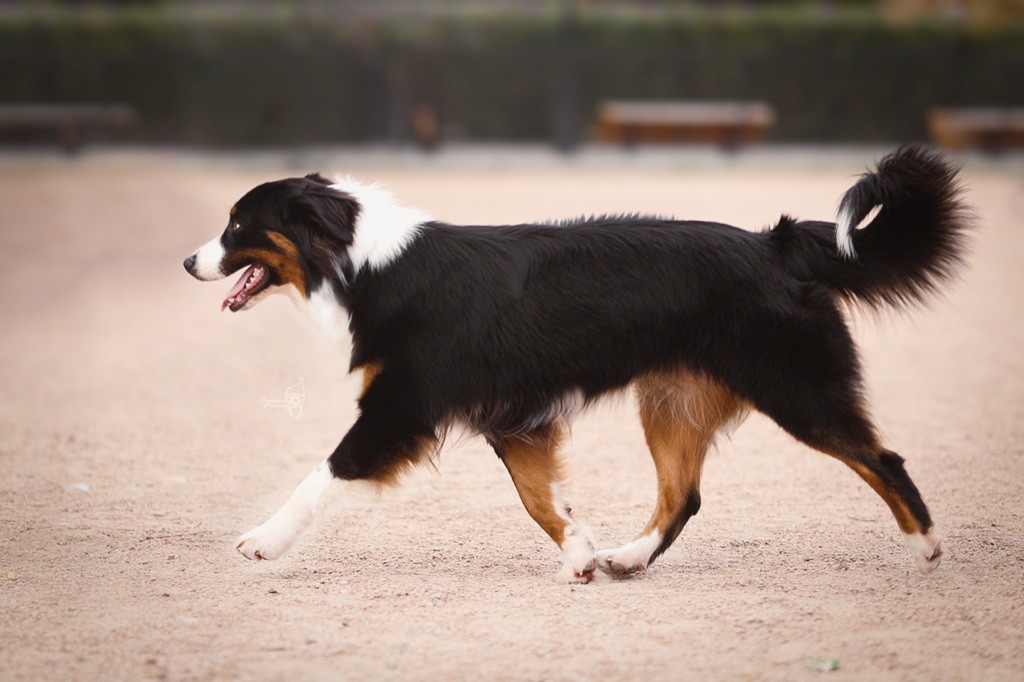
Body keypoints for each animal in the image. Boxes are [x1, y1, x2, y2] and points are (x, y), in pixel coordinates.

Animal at [184, 144, 966, 577]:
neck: (367, 262)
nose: (189, 261)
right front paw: (581, 554)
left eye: (237, 225)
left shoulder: (397, 408)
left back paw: (926, 546)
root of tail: (775, 243)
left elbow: (320, 476)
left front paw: (262, 541)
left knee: (884, 459)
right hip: (671, 402)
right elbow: (541, 498)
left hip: (798, 390)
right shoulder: (515, 419)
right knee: (683, 496)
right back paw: (628, 557)